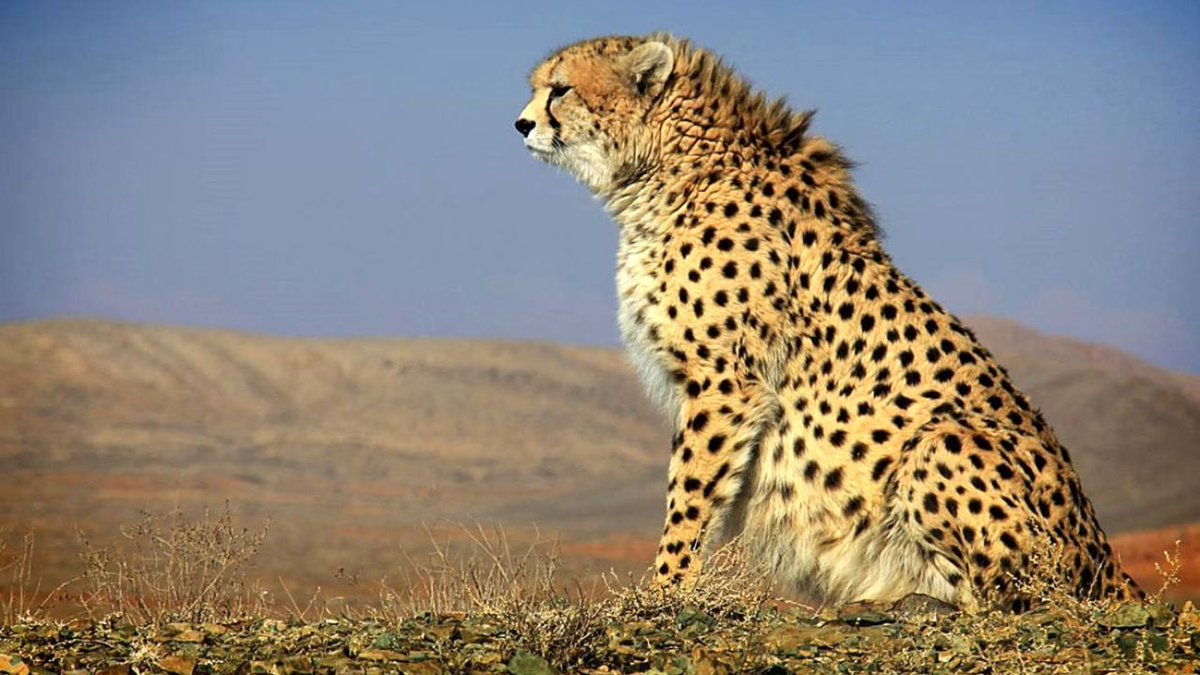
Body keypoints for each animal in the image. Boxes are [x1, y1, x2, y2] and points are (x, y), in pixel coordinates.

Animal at [514, 33, 1142, 611]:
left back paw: (911, 600)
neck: (671, 166)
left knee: (1015, 596)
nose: (520, 124)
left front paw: (662, 592)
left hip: (942, 444)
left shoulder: (725, 384)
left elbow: (690, 495)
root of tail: (1108, 562)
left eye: (560, 89)